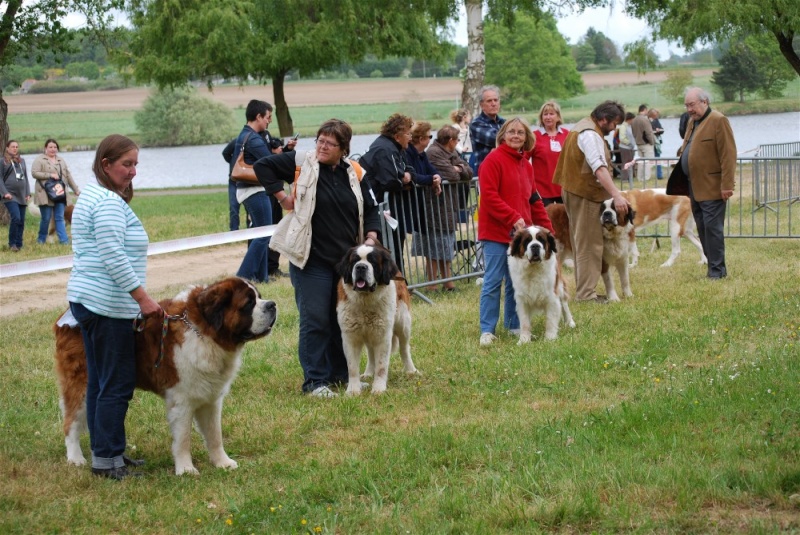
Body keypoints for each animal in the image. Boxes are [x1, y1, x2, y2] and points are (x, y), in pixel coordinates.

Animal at [53, 278, 276, 476]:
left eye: (259, 297)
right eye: (248, 304)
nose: (272, 304)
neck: (204, 332)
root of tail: (64, 319)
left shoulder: (210, 398)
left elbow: (215, 435)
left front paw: (223, 463)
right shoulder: (182, 399)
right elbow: (184, 437)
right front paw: (186, 469)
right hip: (80, 384)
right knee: (71, 422)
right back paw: (76, 458)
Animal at [336, 245, 418, 396]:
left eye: (372, 262)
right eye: (354, 261)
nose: (361, 267)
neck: (365, 300)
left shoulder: (383, 336)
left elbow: (381, 366)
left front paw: (379, 388)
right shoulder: (350, 337)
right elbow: (352, 367)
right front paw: (353, 390)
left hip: (403, 323)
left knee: (404, 348)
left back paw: (411, 370)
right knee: (370, 353)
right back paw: (368, 373)